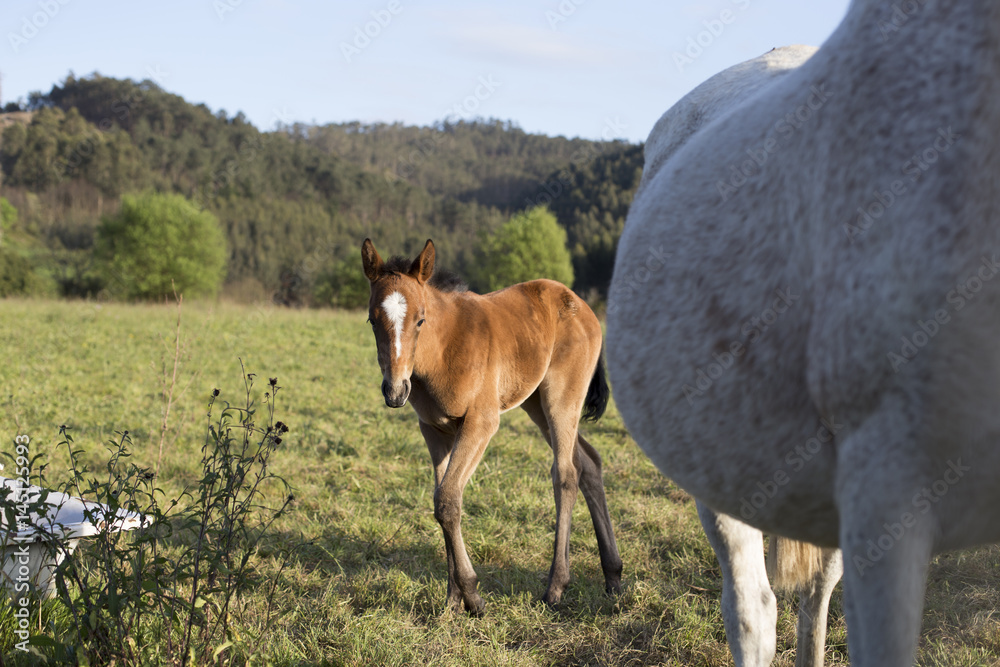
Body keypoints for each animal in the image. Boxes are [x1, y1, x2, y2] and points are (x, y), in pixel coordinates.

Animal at [361, 238, 623, 614]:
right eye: (372, 320)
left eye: (420, 320)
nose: (395, 391)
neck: (444, 351)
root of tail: (582, 306)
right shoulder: (434, 431)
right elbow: (444, 501)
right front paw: (453, 599)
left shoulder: (481, 423)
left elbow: (448, 499)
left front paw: (472, 596)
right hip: (535, 403)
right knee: (589, 463)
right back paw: (613, 576)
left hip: (560, 399)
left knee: (566, 473)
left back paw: (555, 586)